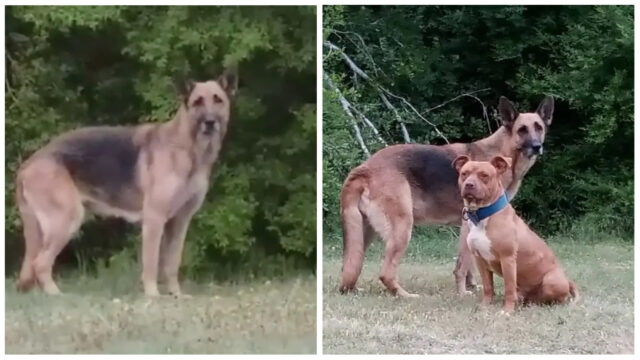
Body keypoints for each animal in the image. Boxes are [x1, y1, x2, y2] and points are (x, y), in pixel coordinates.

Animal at [16, 69, 239, 296]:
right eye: (197, 102)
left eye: (218, 100)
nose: (210, 122)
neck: (188, 148)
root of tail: (28, 163)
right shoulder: (154, 219)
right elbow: (151, 262)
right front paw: (153, 295)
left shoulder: (179, 222)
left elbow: (172, 263)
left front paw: (176, 295)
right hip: (67, 220)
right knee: (40, 263)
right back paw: (56, 295)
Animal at [340, 96, 556, 298]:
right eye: (522, 130)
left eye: (539, 128)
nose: (537, 146)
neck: (505, 152)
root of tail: (364, 168)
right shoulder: (468, 222)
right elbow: (462, 265)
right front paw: (462, 293)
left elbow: (469, 264)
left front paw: (471, 286)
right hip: (402, 228)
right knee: (386, 273)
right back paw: (405, 295)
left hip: (363, 234)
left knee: (349, 269)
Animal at [450, 155, 580, 312]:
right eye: (464, 173)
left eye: (484, 175)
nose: (469, 184)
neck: (482, 215)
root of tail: (567, 280)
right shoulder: (480, 259)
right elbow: (488, 286)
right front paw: (485, 305)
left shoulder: (508, 259)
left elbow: (509, 287)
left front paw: (507, 310)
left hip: (551, 280)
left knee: (552, 299)